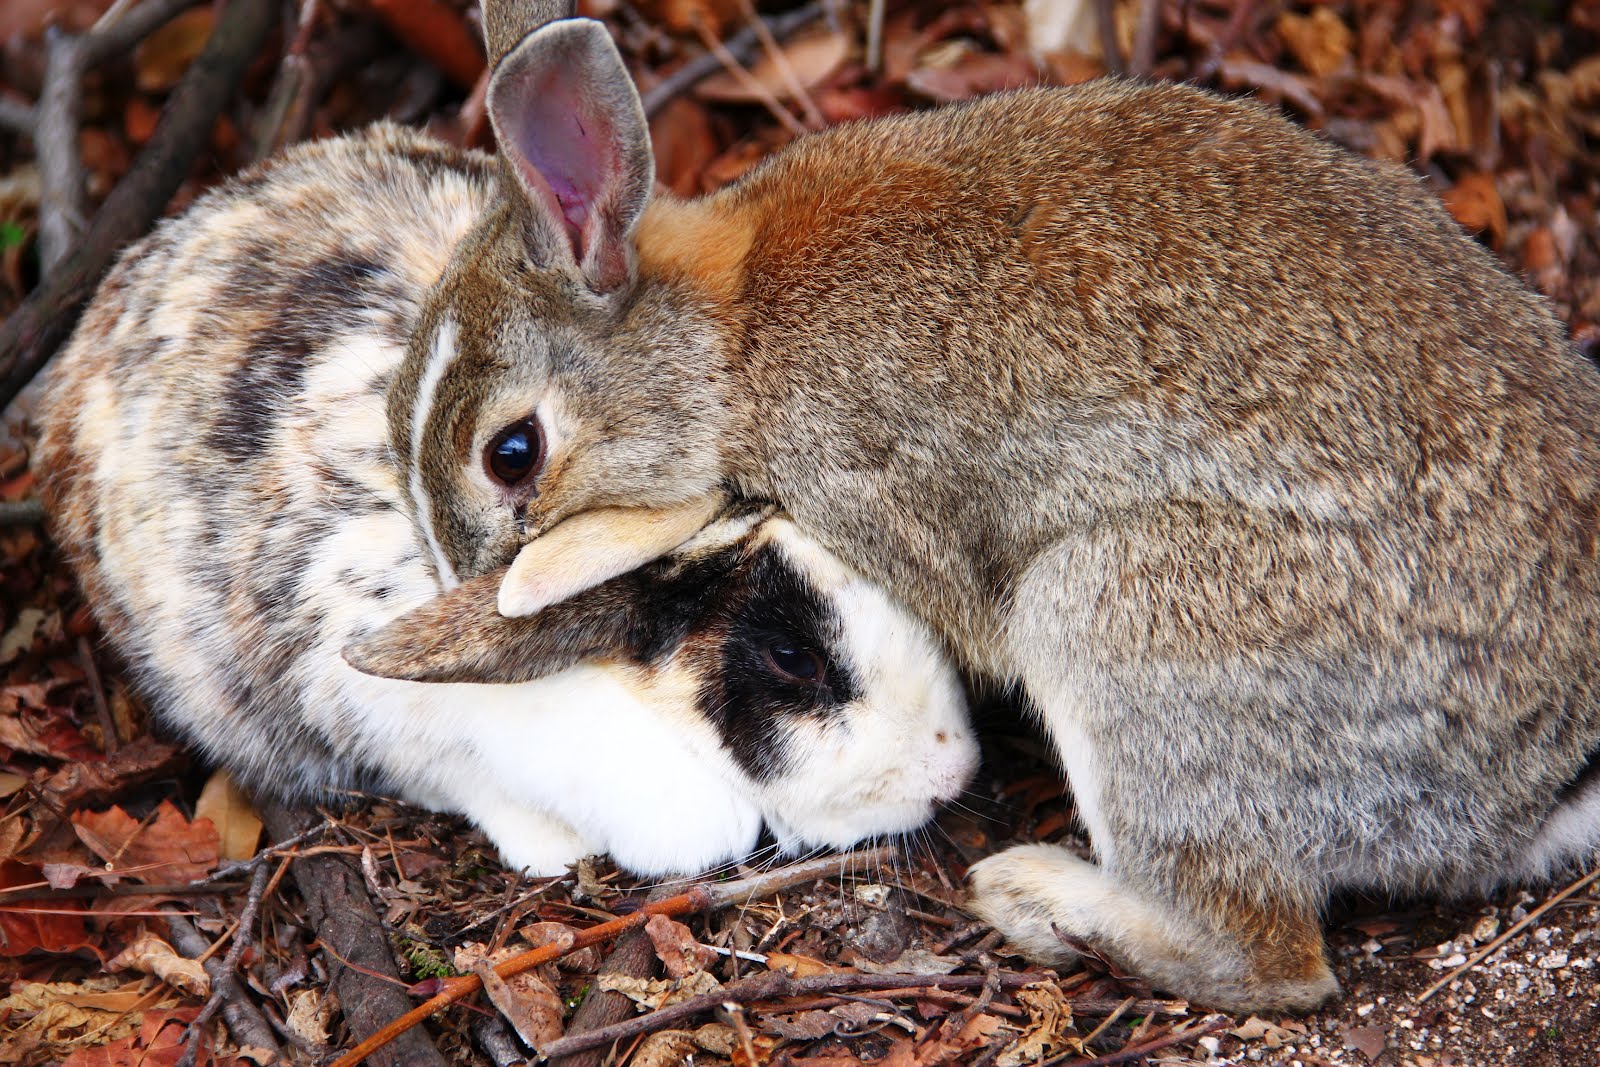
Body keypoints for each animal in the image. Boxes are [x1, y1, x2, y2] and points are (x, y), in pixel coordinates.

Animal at [357, 8, 1600, 1012]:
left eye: (512, 452)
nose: (460, 575)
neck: (727, 335)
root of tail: (1533, 787)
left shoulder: (867, 487)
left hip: (1124, 616)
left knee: (1270, 954)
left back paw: (1035, 894)